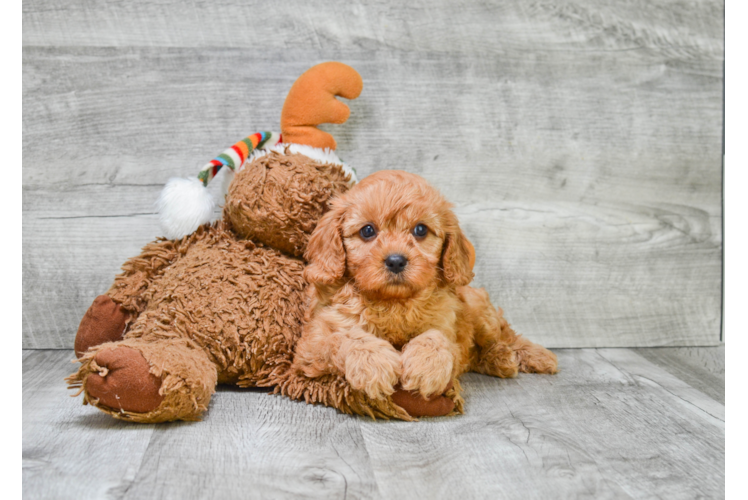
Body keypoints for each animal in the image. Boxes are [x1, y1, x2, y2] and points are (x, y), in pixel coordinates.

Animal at [292, 170, 556, 404]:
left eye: (420, 230)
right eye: (367, 231)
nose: (396, 261)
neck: (394, 302)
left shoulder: (447, 323)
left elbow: (436, 338)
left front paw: (426, 367)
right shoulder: (311, 343)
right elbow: (344, 337)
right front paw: (373, 363)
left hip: (481, 314)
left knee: (505, 335)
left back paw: (528, 356)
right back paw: (499, 360)